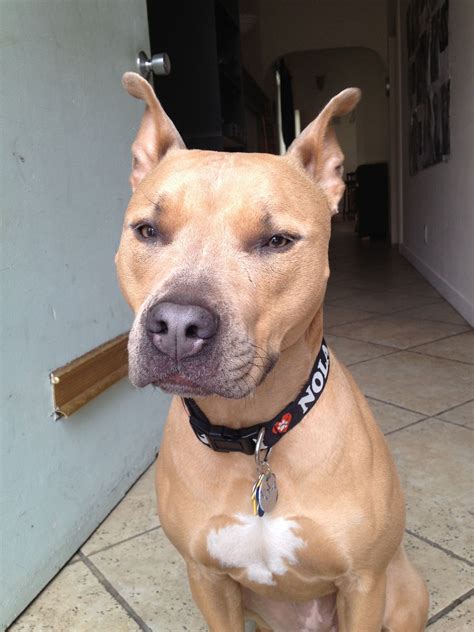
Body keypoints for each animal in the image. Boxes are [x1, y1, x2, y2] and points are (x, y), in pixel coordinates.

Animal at [115, 71, 430, 628]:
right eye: (147, 231)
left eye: (277, 240)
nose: (176, 325)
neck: (256, 436)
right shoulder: (209, 581)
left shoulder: (364, 583)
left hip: (404, 592)